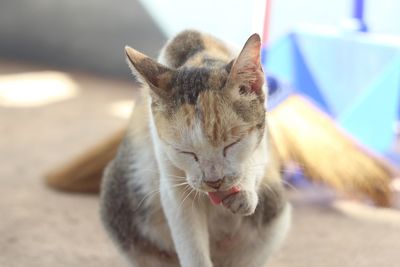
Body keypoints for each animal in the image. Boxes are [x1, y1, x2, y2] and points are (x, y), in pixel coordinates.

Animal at [101, 29, 290, 267]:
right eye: (186, 152)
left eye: (233, 144)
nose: (214, 180)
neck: (200, 53)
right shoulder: (173, 185)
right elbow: (192, 247)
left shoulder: (262, 137)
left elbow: (256, 160)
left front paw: (244, 195)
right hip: (118, 202)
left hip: (275, 214)